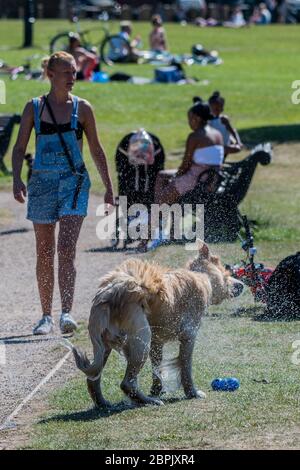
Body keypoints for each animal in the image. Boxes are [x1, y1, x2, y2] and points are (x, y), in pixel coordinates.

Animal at [71, 244, 243, 406]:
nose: (241, 284)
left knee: (93, 378)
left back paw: (104, 403)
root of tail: (110, 292)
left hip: (105, 344)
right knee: (126, 383)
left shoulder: (157, 342)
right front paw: (192, 393)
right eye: (227, 273)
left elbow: (157, 369)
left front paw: (157, 390)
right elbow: (186, 367)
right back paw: (150, 402)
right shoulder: (189, 335)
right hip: (142, 339)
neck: (201, 276)